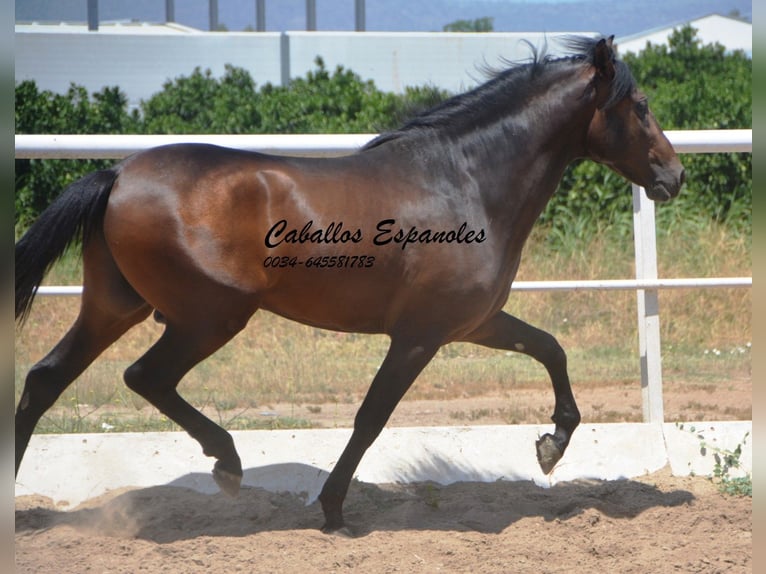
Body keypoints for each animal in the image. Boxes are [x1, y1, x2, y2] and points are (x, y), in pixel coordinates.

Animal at [15, 35, 684, 532]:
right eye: (641, 105)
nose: (673, 176)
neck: (466, 181)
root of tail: (117, 174)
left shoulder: (473, 322)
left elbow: (550, 348)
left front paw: (550, 446)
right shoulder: (419, 336)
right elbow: (371, 417)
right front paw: (334, 509)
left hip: (116, 306)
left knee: (44, 381)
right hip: (209, 317)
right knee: (144, 377)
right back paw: (228, 464)